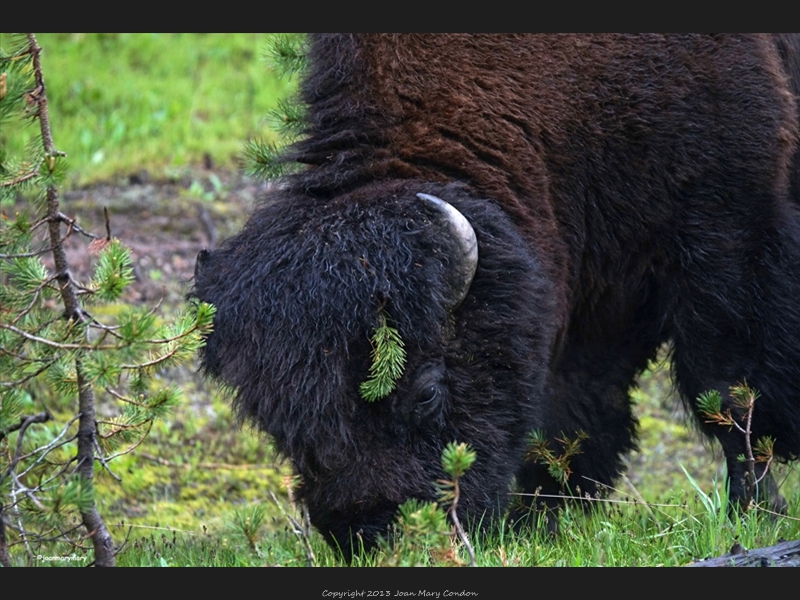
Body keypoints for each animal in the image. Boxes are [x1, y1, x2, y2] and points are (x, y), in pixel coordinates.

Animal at [194, 32, 800, 556]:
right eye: (280, 422)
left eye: (427, 392)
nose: (373, 534)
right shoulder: (589, 277)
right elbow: (571, 405)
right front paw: (541, 519)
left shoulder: (724, 232)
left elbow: (723, 388)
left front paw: (755, 512)